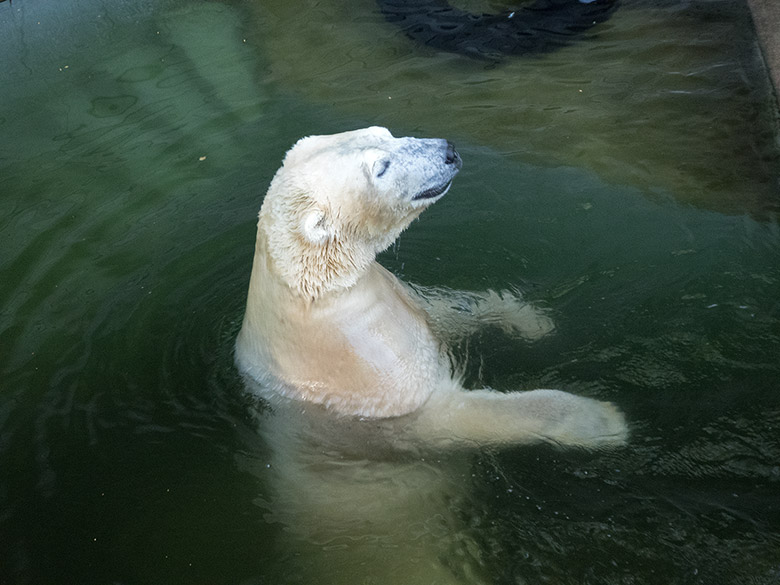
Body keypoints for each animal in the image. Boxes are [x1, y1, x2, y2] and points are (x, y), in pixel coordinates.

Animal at [235, 126, 624, 448]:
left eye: (385, 131)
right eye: (381, 167)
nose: (448, 150)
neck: (320, 298)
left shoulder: (395, 299)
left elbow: (444, 313)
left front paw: (533, 323)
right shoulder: (367, 371)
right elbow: (452, 415)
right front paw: (604, 420)